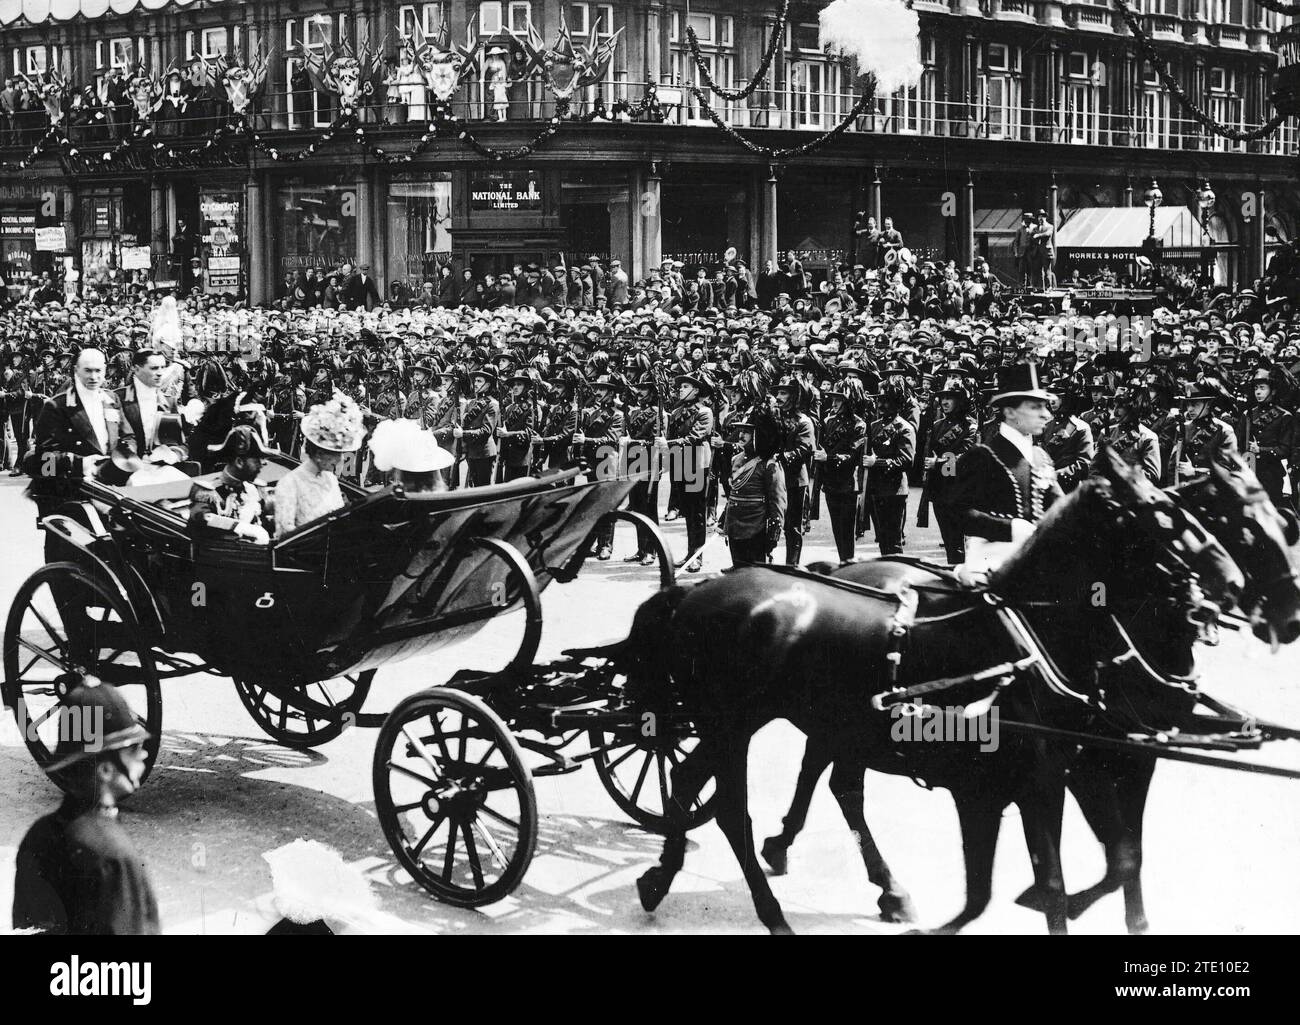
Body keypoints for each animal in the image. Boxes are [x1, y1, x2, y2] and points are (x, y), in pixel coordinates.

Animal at [624, 452, 1242, 931]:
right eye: (1162, 515)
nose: (1228, 582)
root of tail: (696, 592)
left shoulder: (1085, 769)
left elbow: (1118, 859)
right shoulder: (1029, 781)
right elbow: (1058, 882)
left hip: (773, 722)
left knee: (710, 779)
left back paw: (673, 875)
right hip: (734, 724)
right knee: (733, 808)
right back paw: (772, 905)